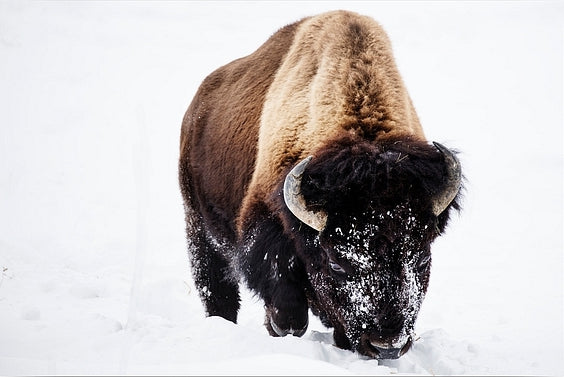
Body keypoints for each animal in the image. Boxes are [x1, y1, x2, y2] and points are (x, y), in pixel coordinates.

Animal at [178, 10, 460, 358]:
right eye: (337, 263)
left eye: (421, 259)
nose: (387, 345)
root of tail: (197, 106)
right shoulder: (265, 227)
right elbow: (288, 309)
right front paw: (281, 329)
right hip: (199, 227)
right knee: (217, 288)